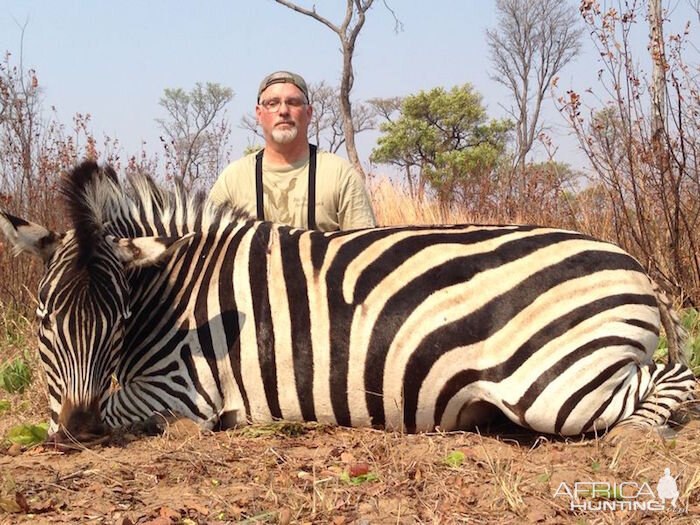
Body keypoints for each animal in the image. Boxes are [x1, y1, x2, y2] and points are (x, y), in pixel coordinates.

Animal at [0, 163, 696, 442]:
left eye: (116, 323)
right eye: (45, 320)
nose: (82, 429)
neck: (178, 288)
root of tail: (630, 261)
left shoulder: (180, 388)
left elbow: (104, 411)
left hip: (557, 384)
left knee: (675, 375)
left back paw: (638, 432)